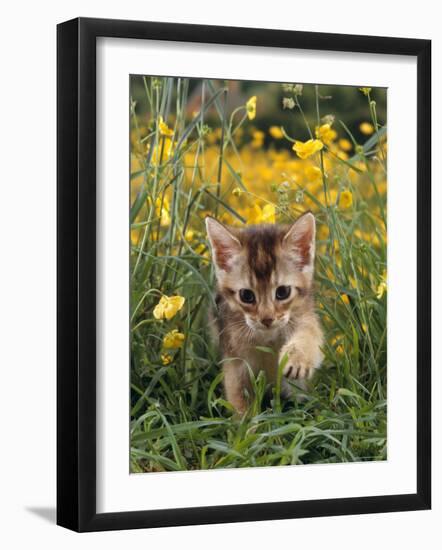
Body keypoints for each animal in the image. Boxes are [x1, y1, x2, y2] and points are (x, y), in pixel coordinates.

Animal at [205, 213, 322, 416]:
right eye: (246, 295)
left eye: (283, 292)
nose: (267, 319)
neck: (267, 337)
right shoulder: (235, 364)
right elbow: (240, 402)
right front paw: (248, 424)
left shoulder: (304, 316)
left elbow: (309, 334)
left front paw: (298, 358)